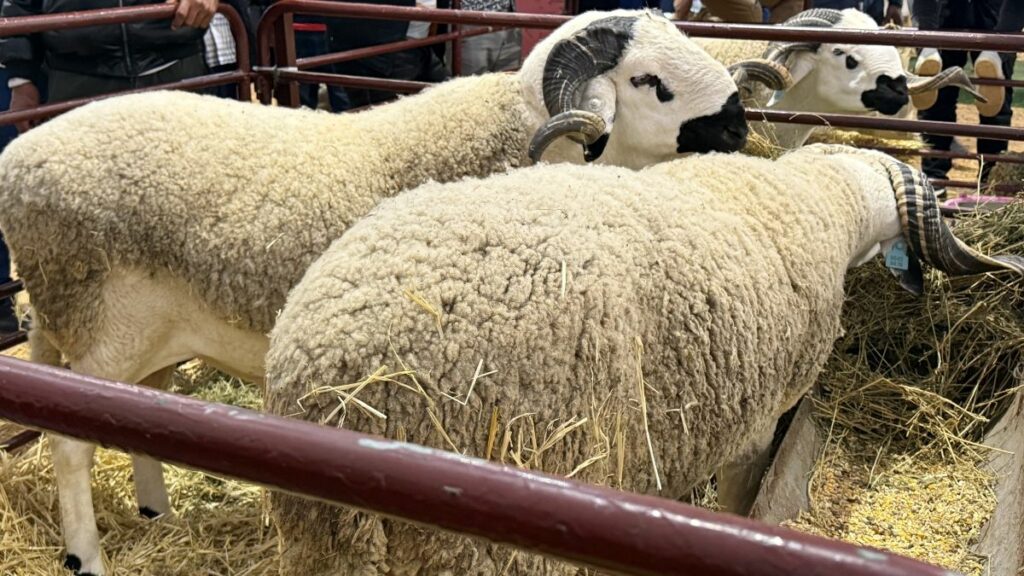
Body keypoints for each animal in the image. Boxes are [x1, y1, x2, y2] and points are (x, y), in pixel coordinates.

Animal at [0, 9, 787, 575]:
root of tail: (20, 157)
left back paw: (156, 513)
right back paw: (86, 556)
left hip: (137, 333)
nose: (738, 125)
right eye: (650, 81)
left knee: (141, 411)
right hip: (106, 326)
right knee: (70, 444)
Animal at [262, 143, 1024, 576]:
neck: (816, 202)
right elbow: (738, 503)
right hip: (488, 534)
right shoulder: (754, 426)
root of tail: (340, 381)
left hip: (321, 544)